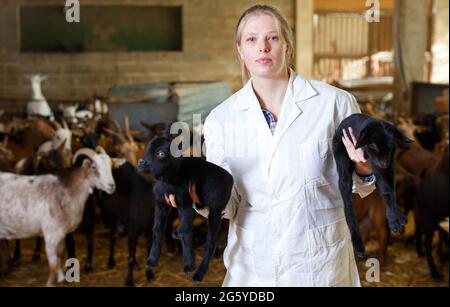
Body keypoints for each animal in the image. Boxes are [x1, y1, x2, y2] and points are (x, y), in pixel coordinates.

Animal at [0, 147, 123, 286]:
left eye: (111, 166)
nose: (111, 186)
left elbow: (61, 256)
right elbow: (53, 265)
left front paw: (61, 279)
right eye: (93, 167)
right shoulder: (51, 234)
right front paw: (51, 283)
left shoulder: (61, 234)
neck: (68, 191)